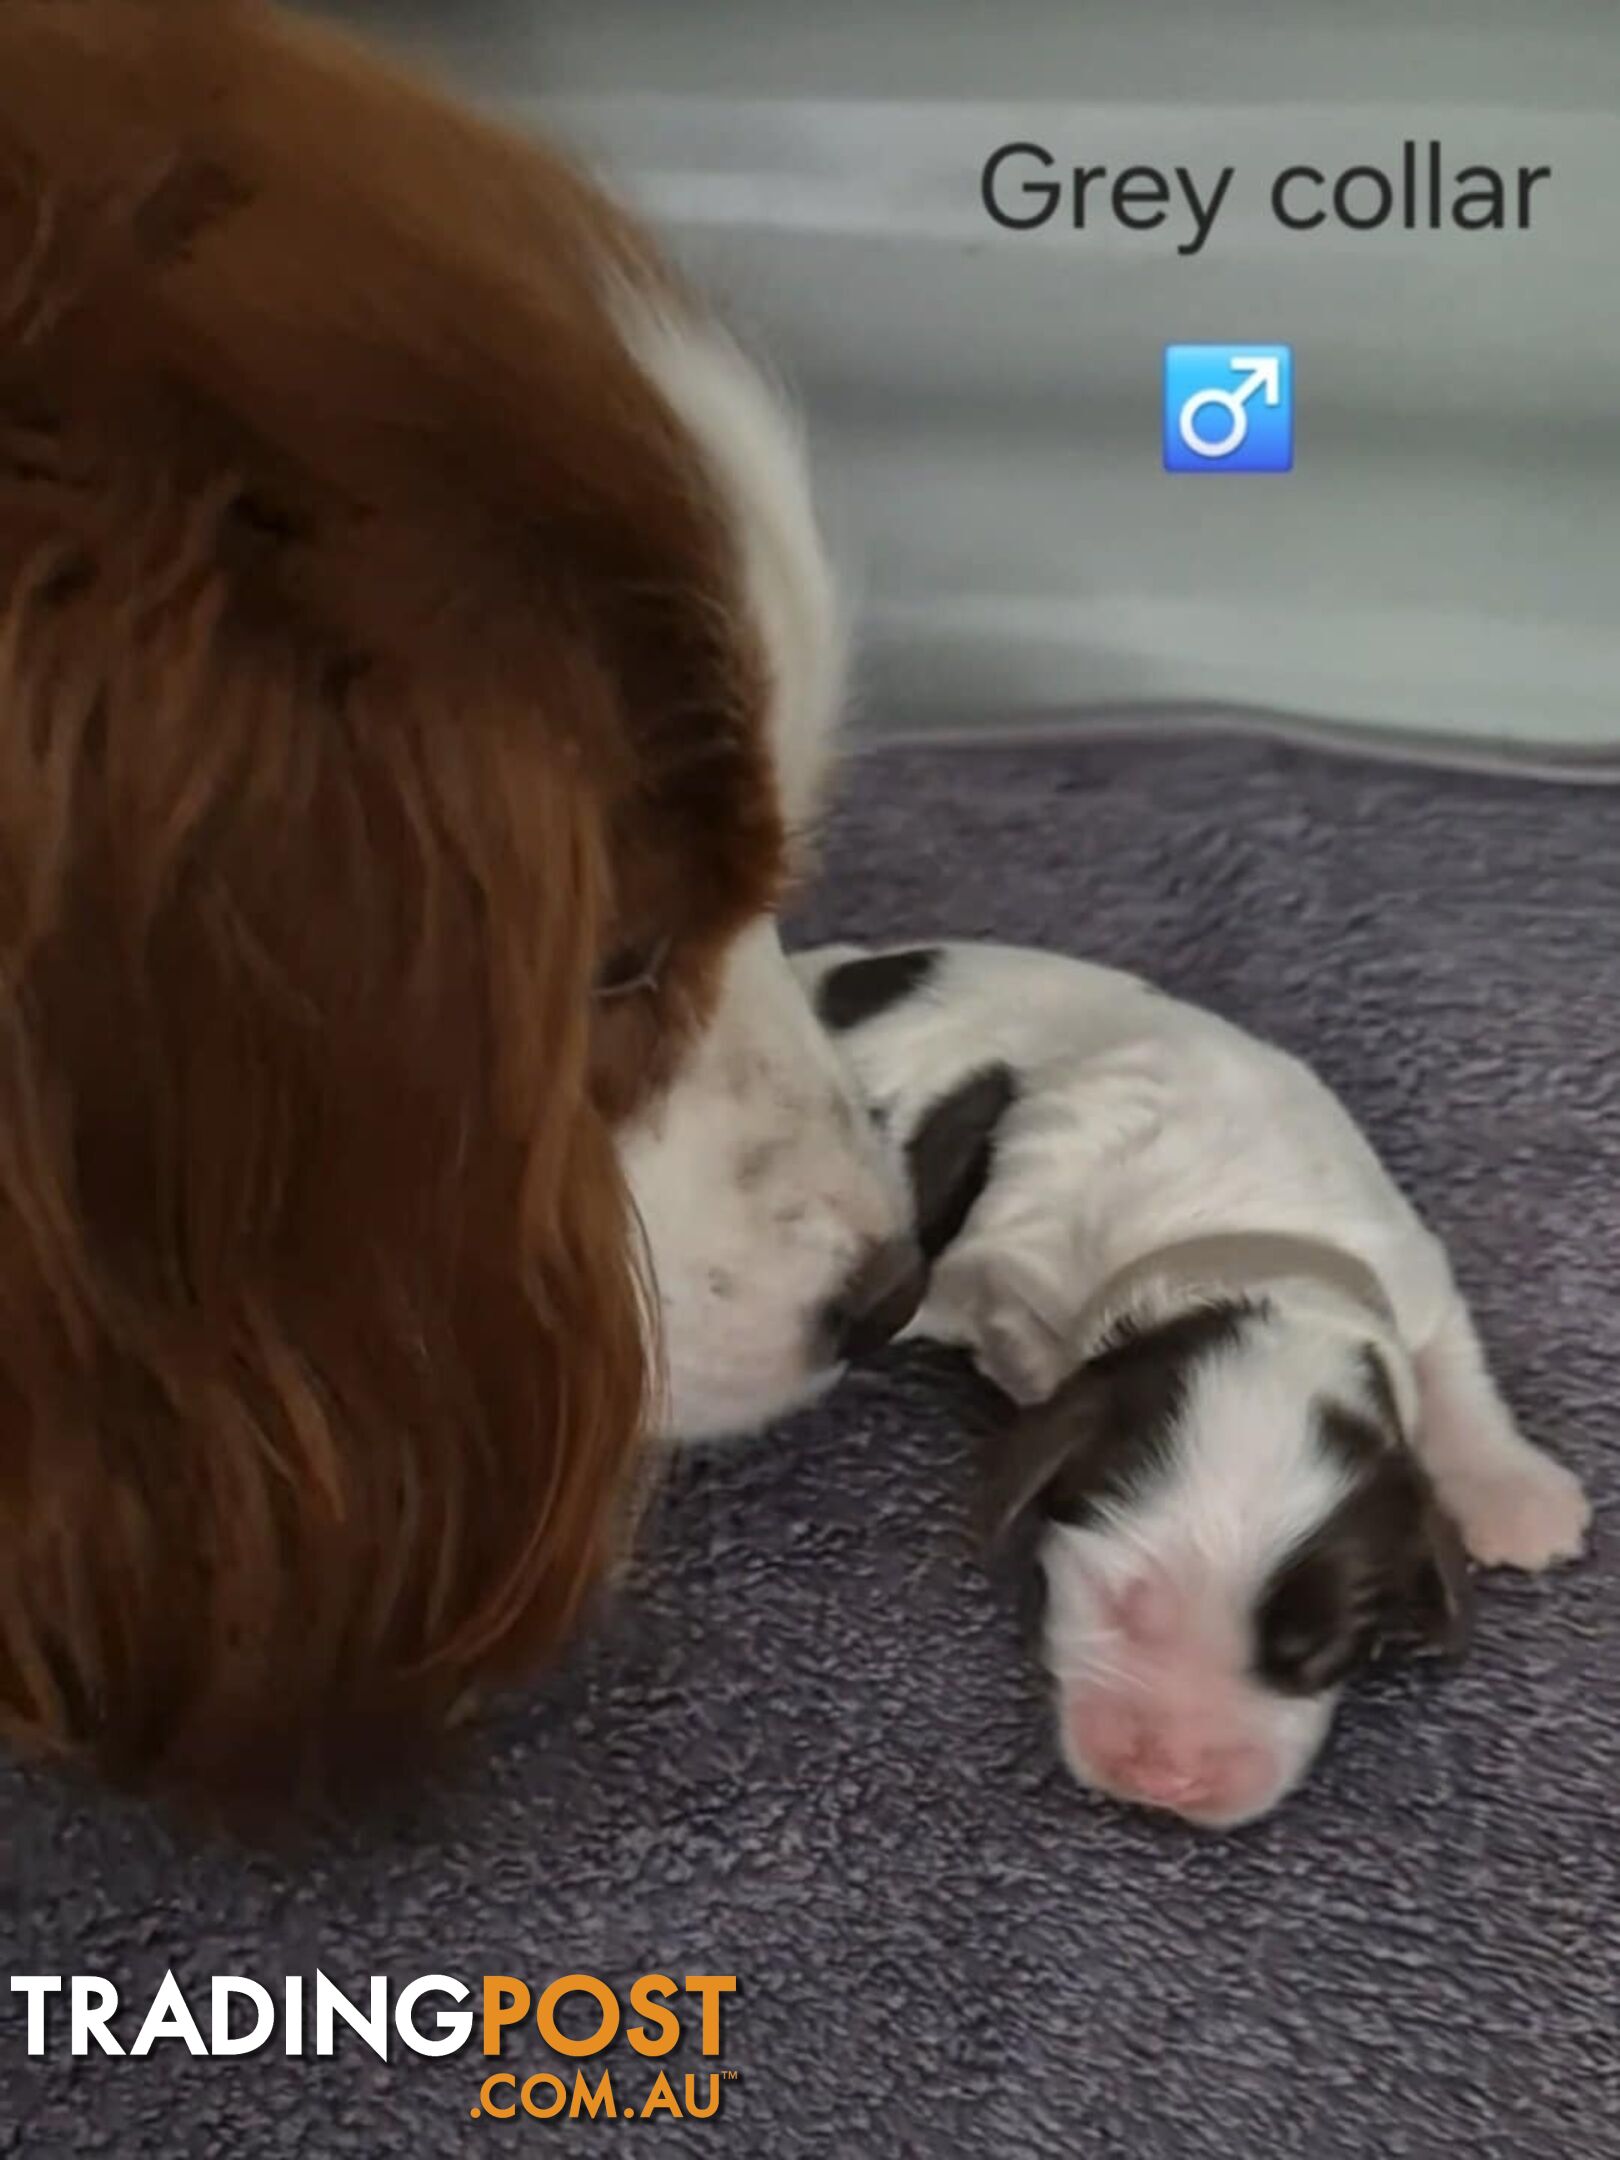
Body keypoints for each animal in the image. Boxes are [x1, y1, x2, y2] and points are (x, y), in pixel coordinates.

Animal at [803, 941, 1598, 1823]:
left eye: (1317, 1656)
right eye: (1123, 1605)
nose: (1170, 1783)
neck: (1239, 1250)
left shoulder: (1403, 1265)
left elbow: (1452, 1367)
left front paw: (1517, 1498)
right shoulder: (1014, 1257)